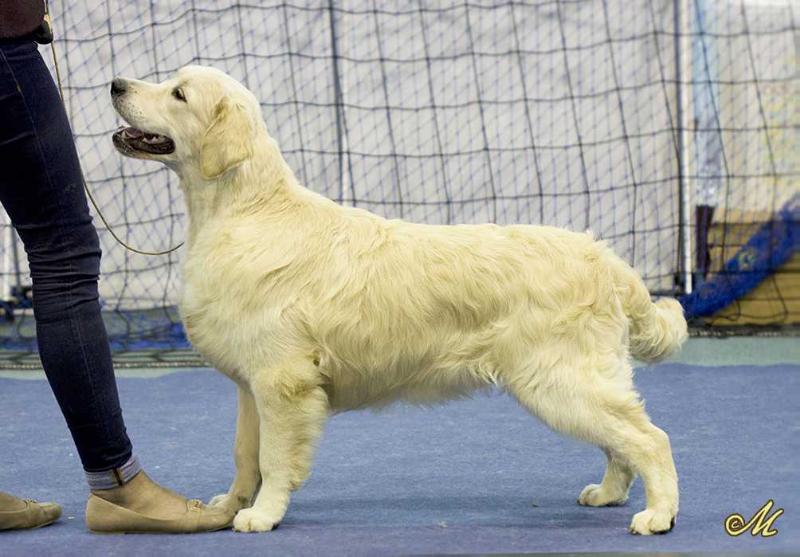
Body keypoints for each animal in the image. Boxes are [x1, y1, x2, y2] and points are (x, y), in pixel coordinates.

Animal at [111, 65, 688, 536]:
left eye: (178, 93)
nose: (116, 84)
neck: (245, 210)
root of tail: (606, 259)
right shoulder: (251, 386)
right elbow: (243, 456)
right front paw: (230, 505)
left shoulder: (283, 382)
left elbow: (273, 460)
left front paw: (264, 514)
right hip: (579, 380)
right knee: (623, 439)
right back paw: (609, 494)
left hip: (560, 380)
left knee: (651, 438)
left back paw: (658, 515)